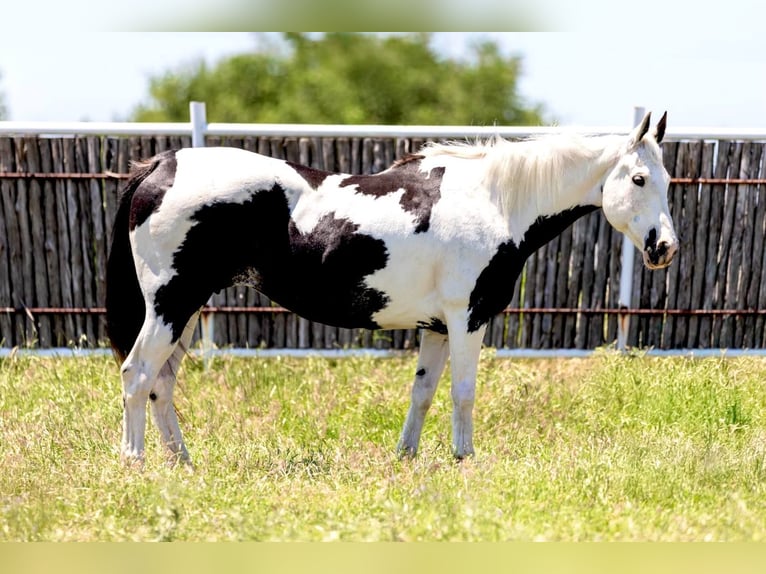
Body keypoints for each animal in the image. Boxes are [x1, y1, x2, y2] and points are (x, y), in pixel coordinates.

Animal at [106, 111, 678, 466]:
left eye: (669, 181)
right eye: (639, 180)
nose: (664, 247)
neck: (495, 201)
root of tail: (163, 165)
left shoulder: (438, 327)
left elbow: (423, 393)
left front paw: (407, 457)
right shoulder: (468, 318)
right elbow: (464, 392)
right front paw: (464, 459)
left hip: (186, 310)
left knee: (161, 384)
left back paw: (182, 462)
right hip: (170, 304)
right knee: (137, 374)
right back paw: (135, 462)